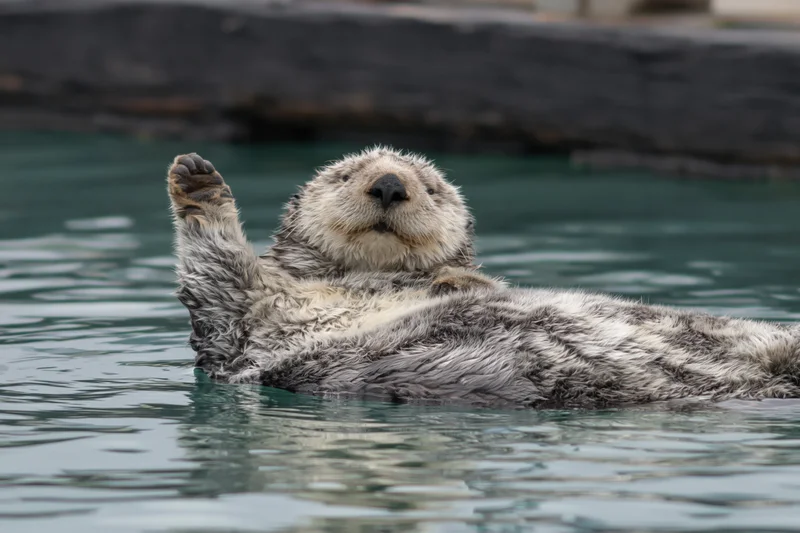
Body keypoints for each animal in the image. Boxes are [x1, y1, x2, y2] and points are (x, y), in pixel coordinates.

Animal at [167, 147, 800, 409]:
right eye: (345, 175)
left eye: (431, 185)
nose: (389, 184)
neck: (364, 278)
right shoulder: (240, 325)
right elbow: (216, 273)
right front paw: (198, 187)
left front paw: (457, 283)